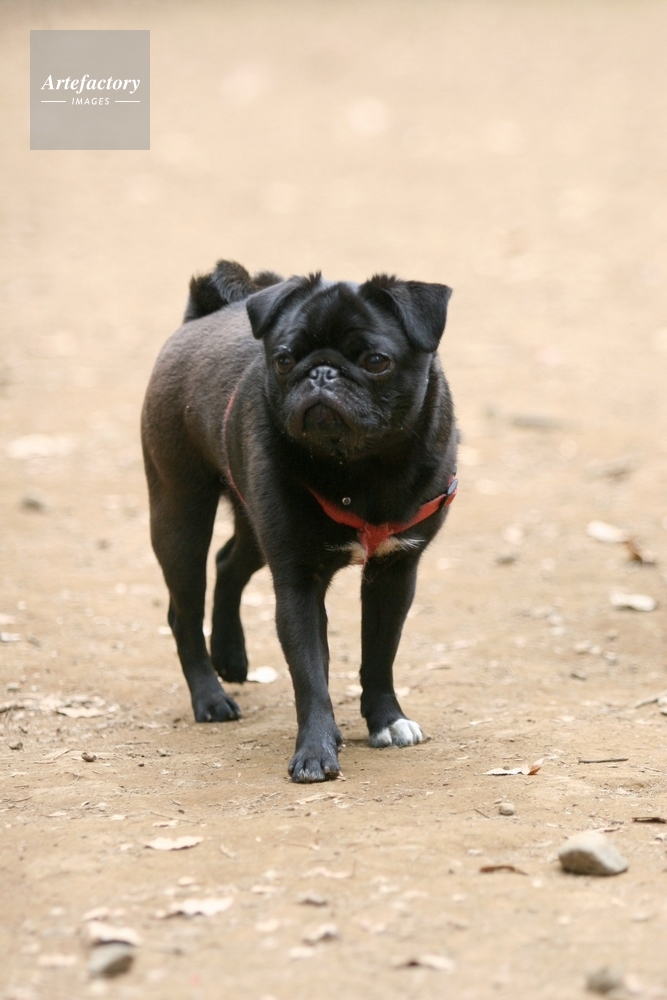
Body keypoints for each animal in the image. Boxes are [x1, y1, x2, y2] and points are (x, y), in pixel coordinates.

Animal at [141, 260, 458, 782]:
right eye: (285, 359)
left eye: (376, 361)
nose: (322, 372)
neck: (360, 469)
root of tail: (199, 318)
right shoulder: (298, 583)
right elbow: (310, 675)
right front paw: (316, 750)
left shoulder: (394, 573)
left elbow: (379, 654)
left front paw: (386, 720)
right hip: (180, 516)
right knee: (183, 611)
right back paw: (210, 696)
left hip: (252, 521)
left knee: (228, 564)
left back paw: (230, 654)